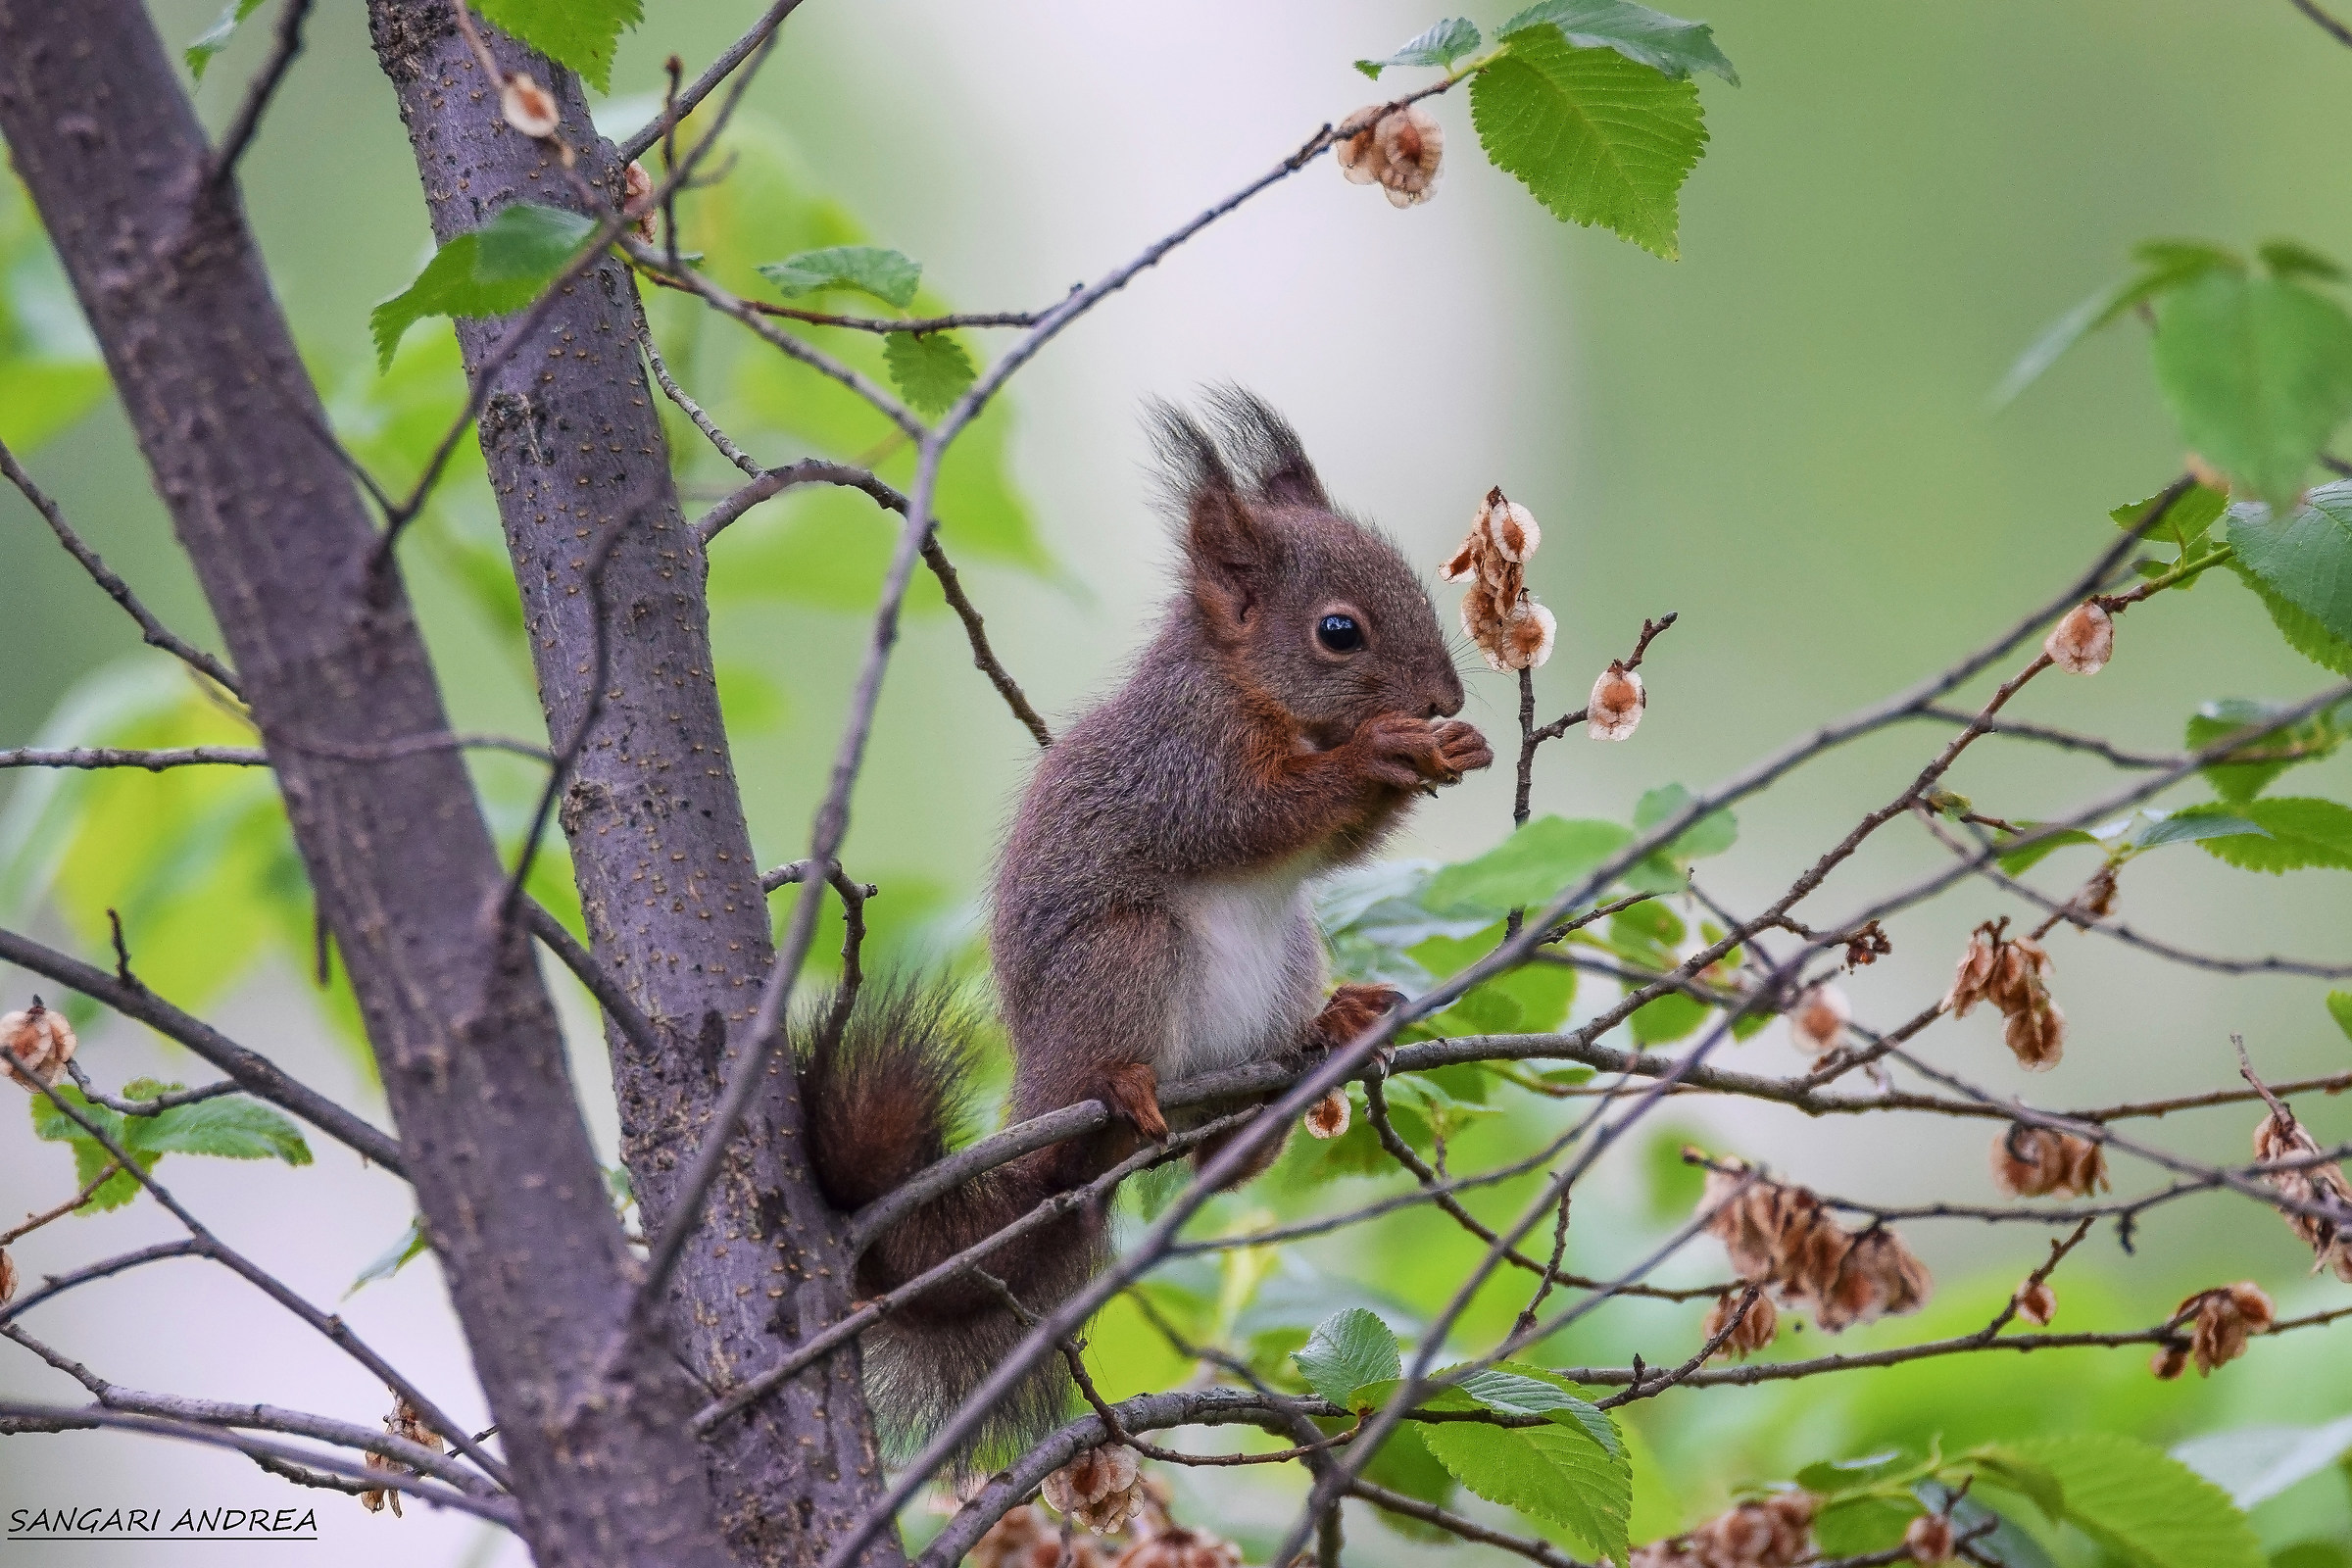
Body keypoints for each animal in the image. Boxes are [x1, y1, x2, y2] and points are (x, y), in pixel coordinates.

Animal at [795, 388, 1492, 1460]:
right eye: (1339, 631)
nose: (1442, 698)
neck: (1247, 687)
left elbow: (1328, 847)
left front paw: (1450, 745)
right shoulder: (1182, 762)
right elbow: (1248, 817)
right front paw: (1383, 750)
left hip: (1285, 964)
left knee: (1225, 1160)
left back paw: (1326, 1035)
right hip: (1125, 953)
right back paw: (1121, 1086)